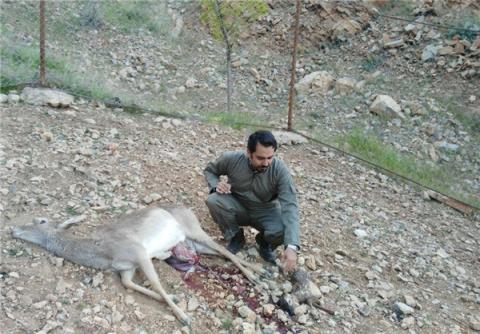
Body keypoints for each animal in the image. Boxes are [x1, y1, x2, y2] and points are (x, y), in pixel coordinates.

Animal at [11, 205, 266, 324]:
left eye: (41, 220)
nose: (13, 229)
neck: (102, 252)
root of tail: (186, 209)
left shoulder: (140, 253)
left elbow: (155, 282)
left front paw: (184, 317)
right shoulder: (127, 268)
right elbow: (129, 285)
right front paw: (176, 299)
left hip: (195, 230)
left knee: (225, 250)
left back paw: (257, 275)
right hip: (191, 243)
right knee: (223, 254)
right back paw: (261, 271)